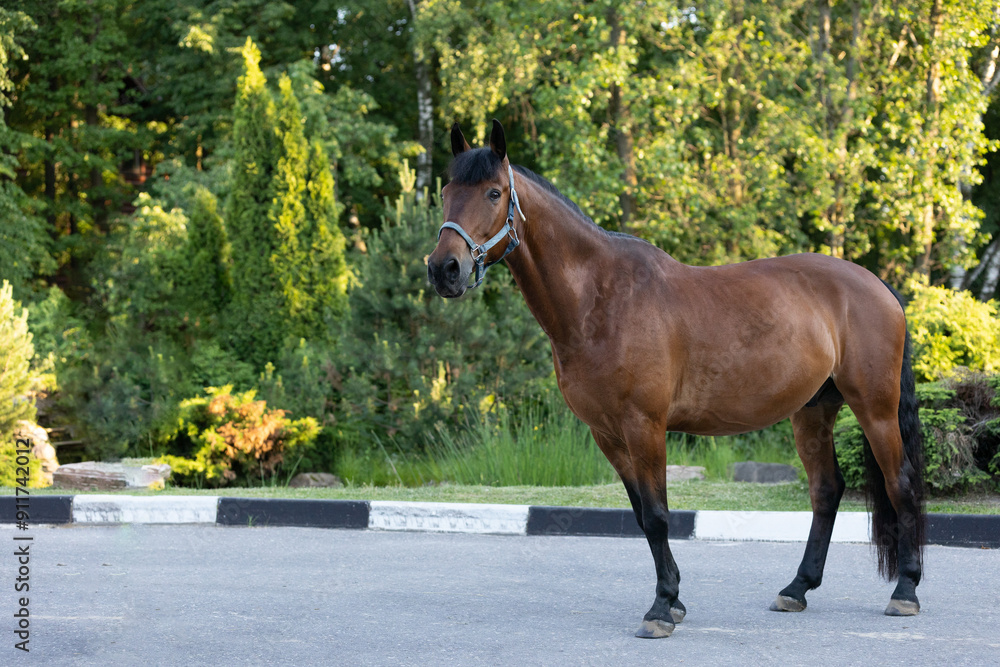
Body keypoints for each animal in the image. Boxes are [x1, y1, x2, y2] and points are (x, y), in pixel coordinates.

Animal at [427, 120, 926, 639]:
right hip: (813, 410)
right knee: (826, 491)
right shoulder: (607, 433)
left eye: (493, 192)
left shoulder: (644, 426)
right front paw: (675, 599)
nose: (444, 269)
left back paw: (905, 592)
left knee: (901, 484)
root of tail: (877, 285)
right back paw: (796, 589)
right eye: (445, 193)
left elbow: (659, 516)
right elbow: (643, 516)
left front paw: (661, 608)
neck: (601, 299)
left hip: (875, 408)